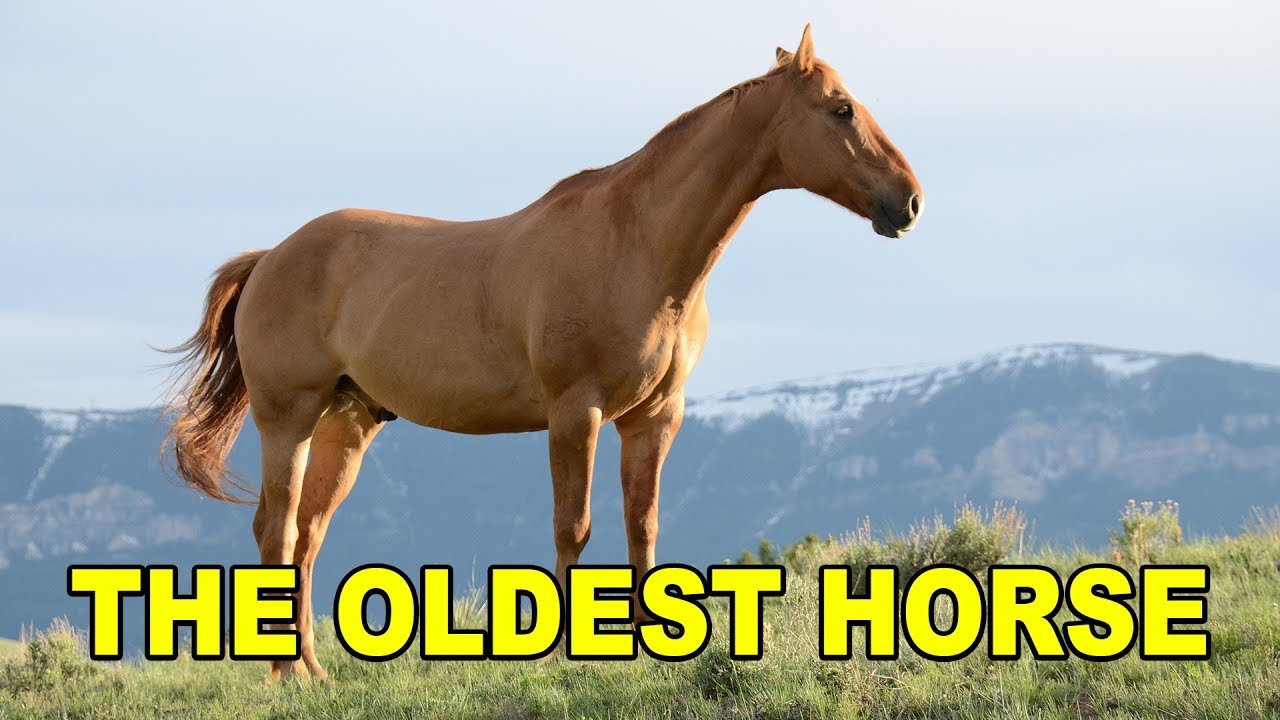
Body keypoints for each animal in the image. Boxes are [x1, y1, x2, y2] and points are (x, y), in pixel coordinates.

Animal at [163, 25, 921, 681]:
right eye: (841, 109)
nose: (909, 201)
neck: (636, 245)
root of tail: (271, 257)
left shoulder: (655, 418)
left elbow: (642, 526)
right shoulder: (574, 413)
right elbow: (573, 528)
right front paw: (562, 653)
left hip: (346, 423)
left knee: (307, 536)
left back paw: (313, 671)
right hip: (288, 417)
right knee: (276, 529)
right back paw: (283, 674)